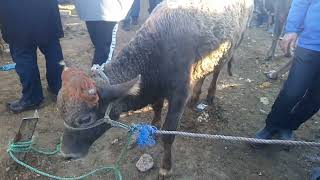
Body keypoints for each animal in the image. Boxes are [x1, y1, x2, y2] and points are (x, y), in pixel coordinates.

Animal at [56, 0, 254, 177]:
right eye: (62, 113)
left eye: (85, 119)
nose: (66, 153)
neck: (158, 51)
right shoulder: (156, 89)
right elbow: (157, 107)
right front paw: (154, 127)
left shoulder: (179, 96)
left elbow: (169, 134)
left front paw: (166, 167)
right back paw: (196, 97)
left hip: (231, 46)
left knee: (217, 72)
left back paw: (210, 96)